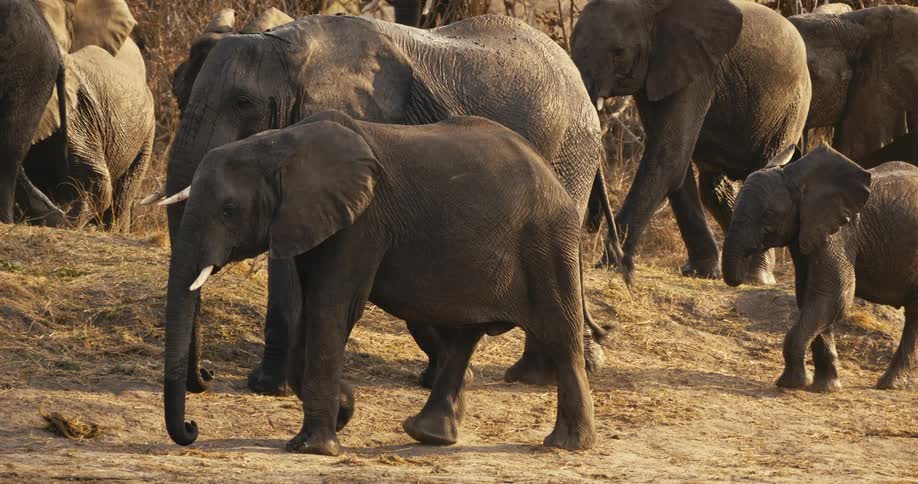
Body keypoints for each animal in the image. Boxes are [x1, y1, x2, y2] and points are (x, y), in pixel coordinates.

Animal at [150, 12, 620, 396]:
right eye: (178, 93)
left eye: (243, 103)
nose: (206, 376)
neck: (289, 46)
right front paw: (268, 384)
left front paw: (269, 387)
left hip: (571, 148)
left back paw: (541, 375)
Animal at [161, 111, 601, 454]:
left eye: (229, 210)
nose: (193, 428)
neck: (280, 143)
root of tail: (555, 179)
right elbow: (312, 308)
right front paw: (343, 409)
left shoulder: (361, 224)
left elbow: (332, 308)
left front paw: (314, 447)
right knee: (465, 336)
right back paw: (428, 435)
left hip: (547, 243)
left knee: (560, 334)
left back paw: (566, 444)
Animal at [572, 0, 812, 284]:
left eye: (617, 53)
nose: (591, 224)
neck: (652, 9)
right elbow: (675, 163)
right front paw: (701, 272)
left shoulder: (699, 73)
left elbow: (668, 157)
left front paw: (610, 264)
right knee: (712, 189)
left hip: (792, 108)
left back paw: (756, 278)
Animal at [723, 144, 918, 392]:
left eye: (768, 215)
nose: (741, 277)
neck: (799, 179)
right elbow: (811, 297)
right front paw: (826, 387)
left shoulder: (839, 234)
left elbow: (834, 296)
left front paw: (790, 384)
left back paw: (888, 384)